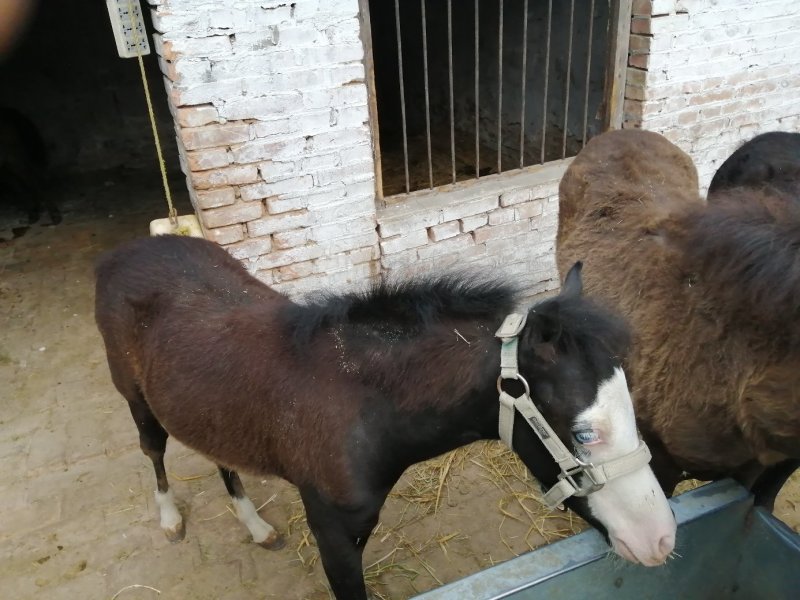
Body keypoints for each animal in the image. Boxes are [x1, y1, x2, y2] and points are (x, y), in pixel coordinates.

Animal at [94, 234, 676, 600]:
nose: (662, 541)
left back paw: (255, 526)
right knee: (154, 449)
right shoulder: (331, 532)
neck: (361, 404)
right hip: (135, 399)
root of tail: (123, 253)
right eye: (584, 433)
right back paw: (171, 519)